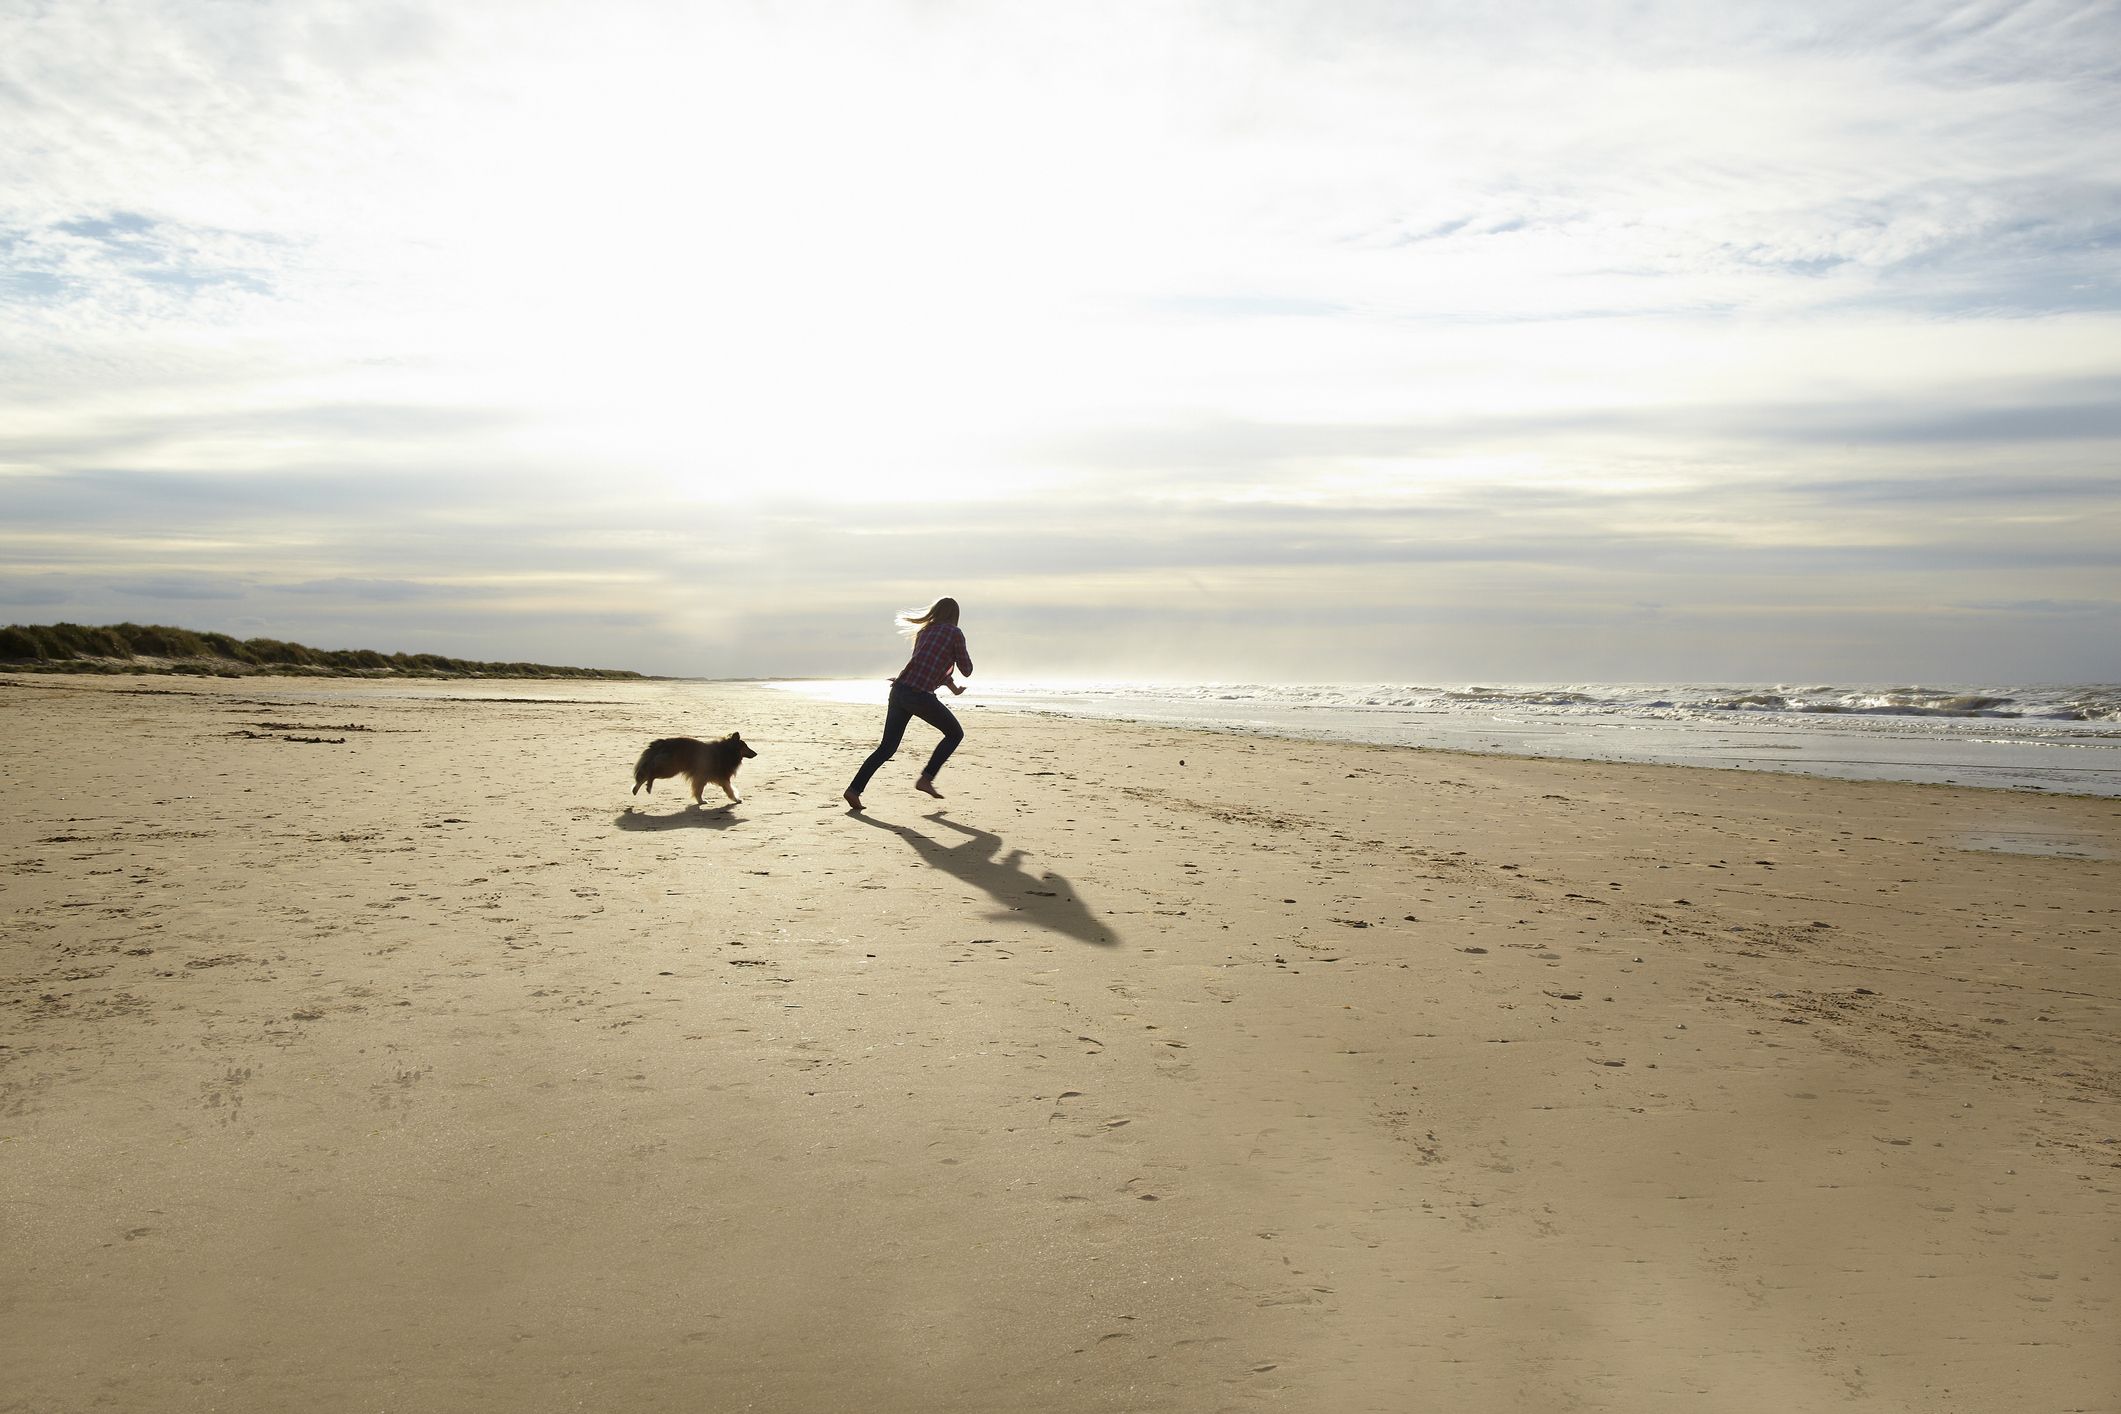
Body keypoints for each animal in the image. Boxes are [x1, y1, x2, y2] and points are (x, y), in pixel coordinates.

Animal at [627, 737, 755, 801]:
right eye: (746, 746)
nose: (756, 753)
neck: (727, 751)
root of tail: (661, 743)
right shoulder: (719, 777)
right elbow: (729, 789)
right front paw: (736, 799)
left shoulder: (702, 777)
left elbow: (699, 790)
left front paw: (700, 800)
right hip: (669, 768)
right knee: (651, 773)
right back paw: (648, 787)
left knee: (645, 774)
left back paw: (636, 789)